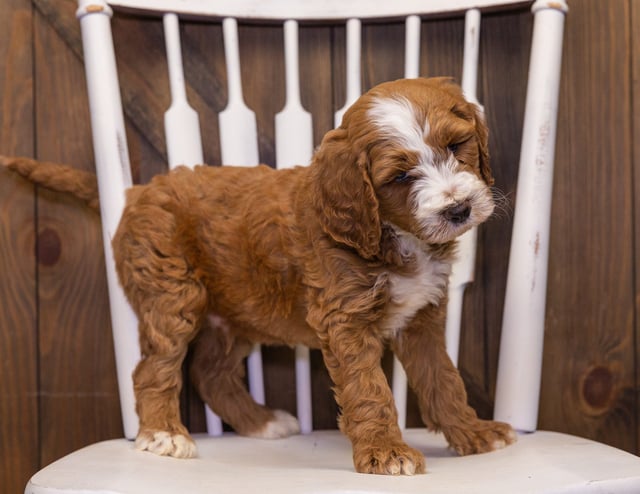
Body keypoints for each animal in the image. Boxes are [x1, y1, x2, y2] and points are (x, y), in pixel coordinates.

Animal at [1, 77, 516, 474]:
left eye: (456, 146)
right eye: (401, 177)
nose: (458, 209)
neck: (390, 234)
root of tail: (137, 191)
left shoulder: (422, 317)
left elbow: (443, 378)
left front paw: (473, 432)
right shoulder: (345, 319)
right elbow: (369, 389)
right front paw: (387, 453)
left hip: (235, 315)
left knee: (210, 374)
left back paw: (260, 422)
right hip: (172, 295)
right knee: (155, 368)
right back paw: (165, 433)